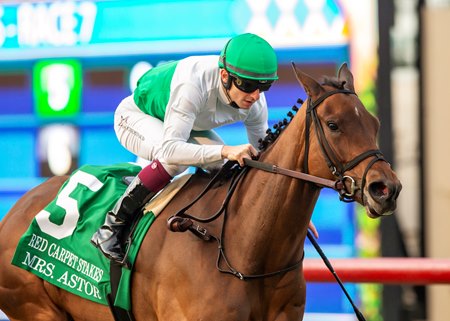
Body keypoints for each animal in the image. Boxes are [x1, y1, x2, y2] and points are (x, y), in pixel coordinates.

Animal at [0, 63, 400, 320]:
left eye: (375, 122)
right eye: (333, 125)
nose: (387, 188)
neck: (245, 248)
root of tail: (16, 209)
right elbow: (172, 150)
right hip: (36, 307)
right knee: (167, 154)